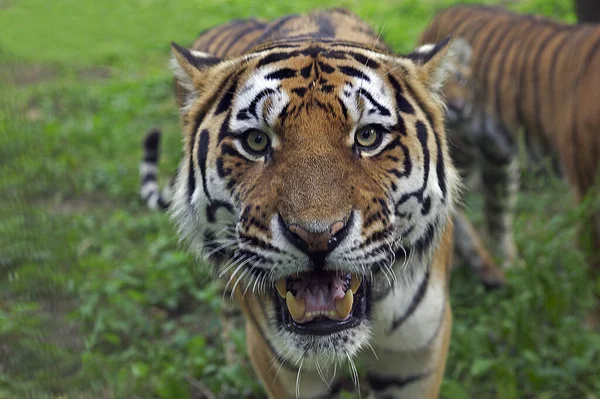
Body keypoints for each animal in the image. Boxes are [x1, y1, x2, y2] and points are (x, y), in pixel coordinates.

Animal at [420, 3, 600, 328]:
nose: (458, 106)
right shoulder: (587, 184)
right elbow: (593, 262)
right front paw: (593, 324)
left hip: (500, 164)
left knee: (496, 220)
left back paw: (508, 269)